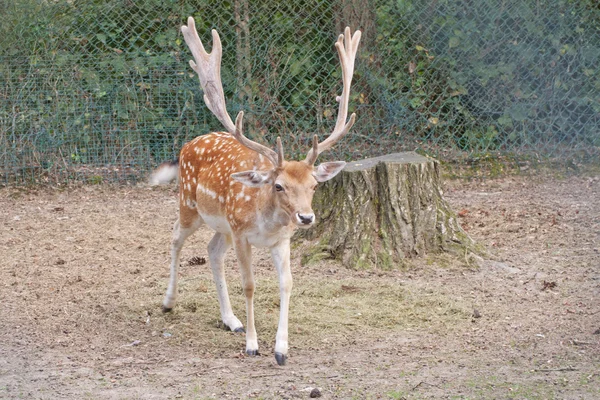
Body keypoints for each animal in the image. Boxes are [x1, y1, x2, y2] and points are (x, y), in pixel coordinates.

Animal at [151, 16, 360, 366]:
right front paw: (252, 344)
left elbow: (286, 284)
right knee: (176, 237)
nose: (306, 217)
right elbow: (249, 285)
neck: (266, 224)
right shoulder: (241, 234)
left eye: (314, 185)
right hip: (191, 205)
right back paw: (169, 302)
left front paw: (281, 349)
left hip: (222, 225)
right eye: (279, 185)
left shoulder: (281, 241)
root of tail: (187, 144)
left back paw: (230, 320)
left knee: (211, 251)